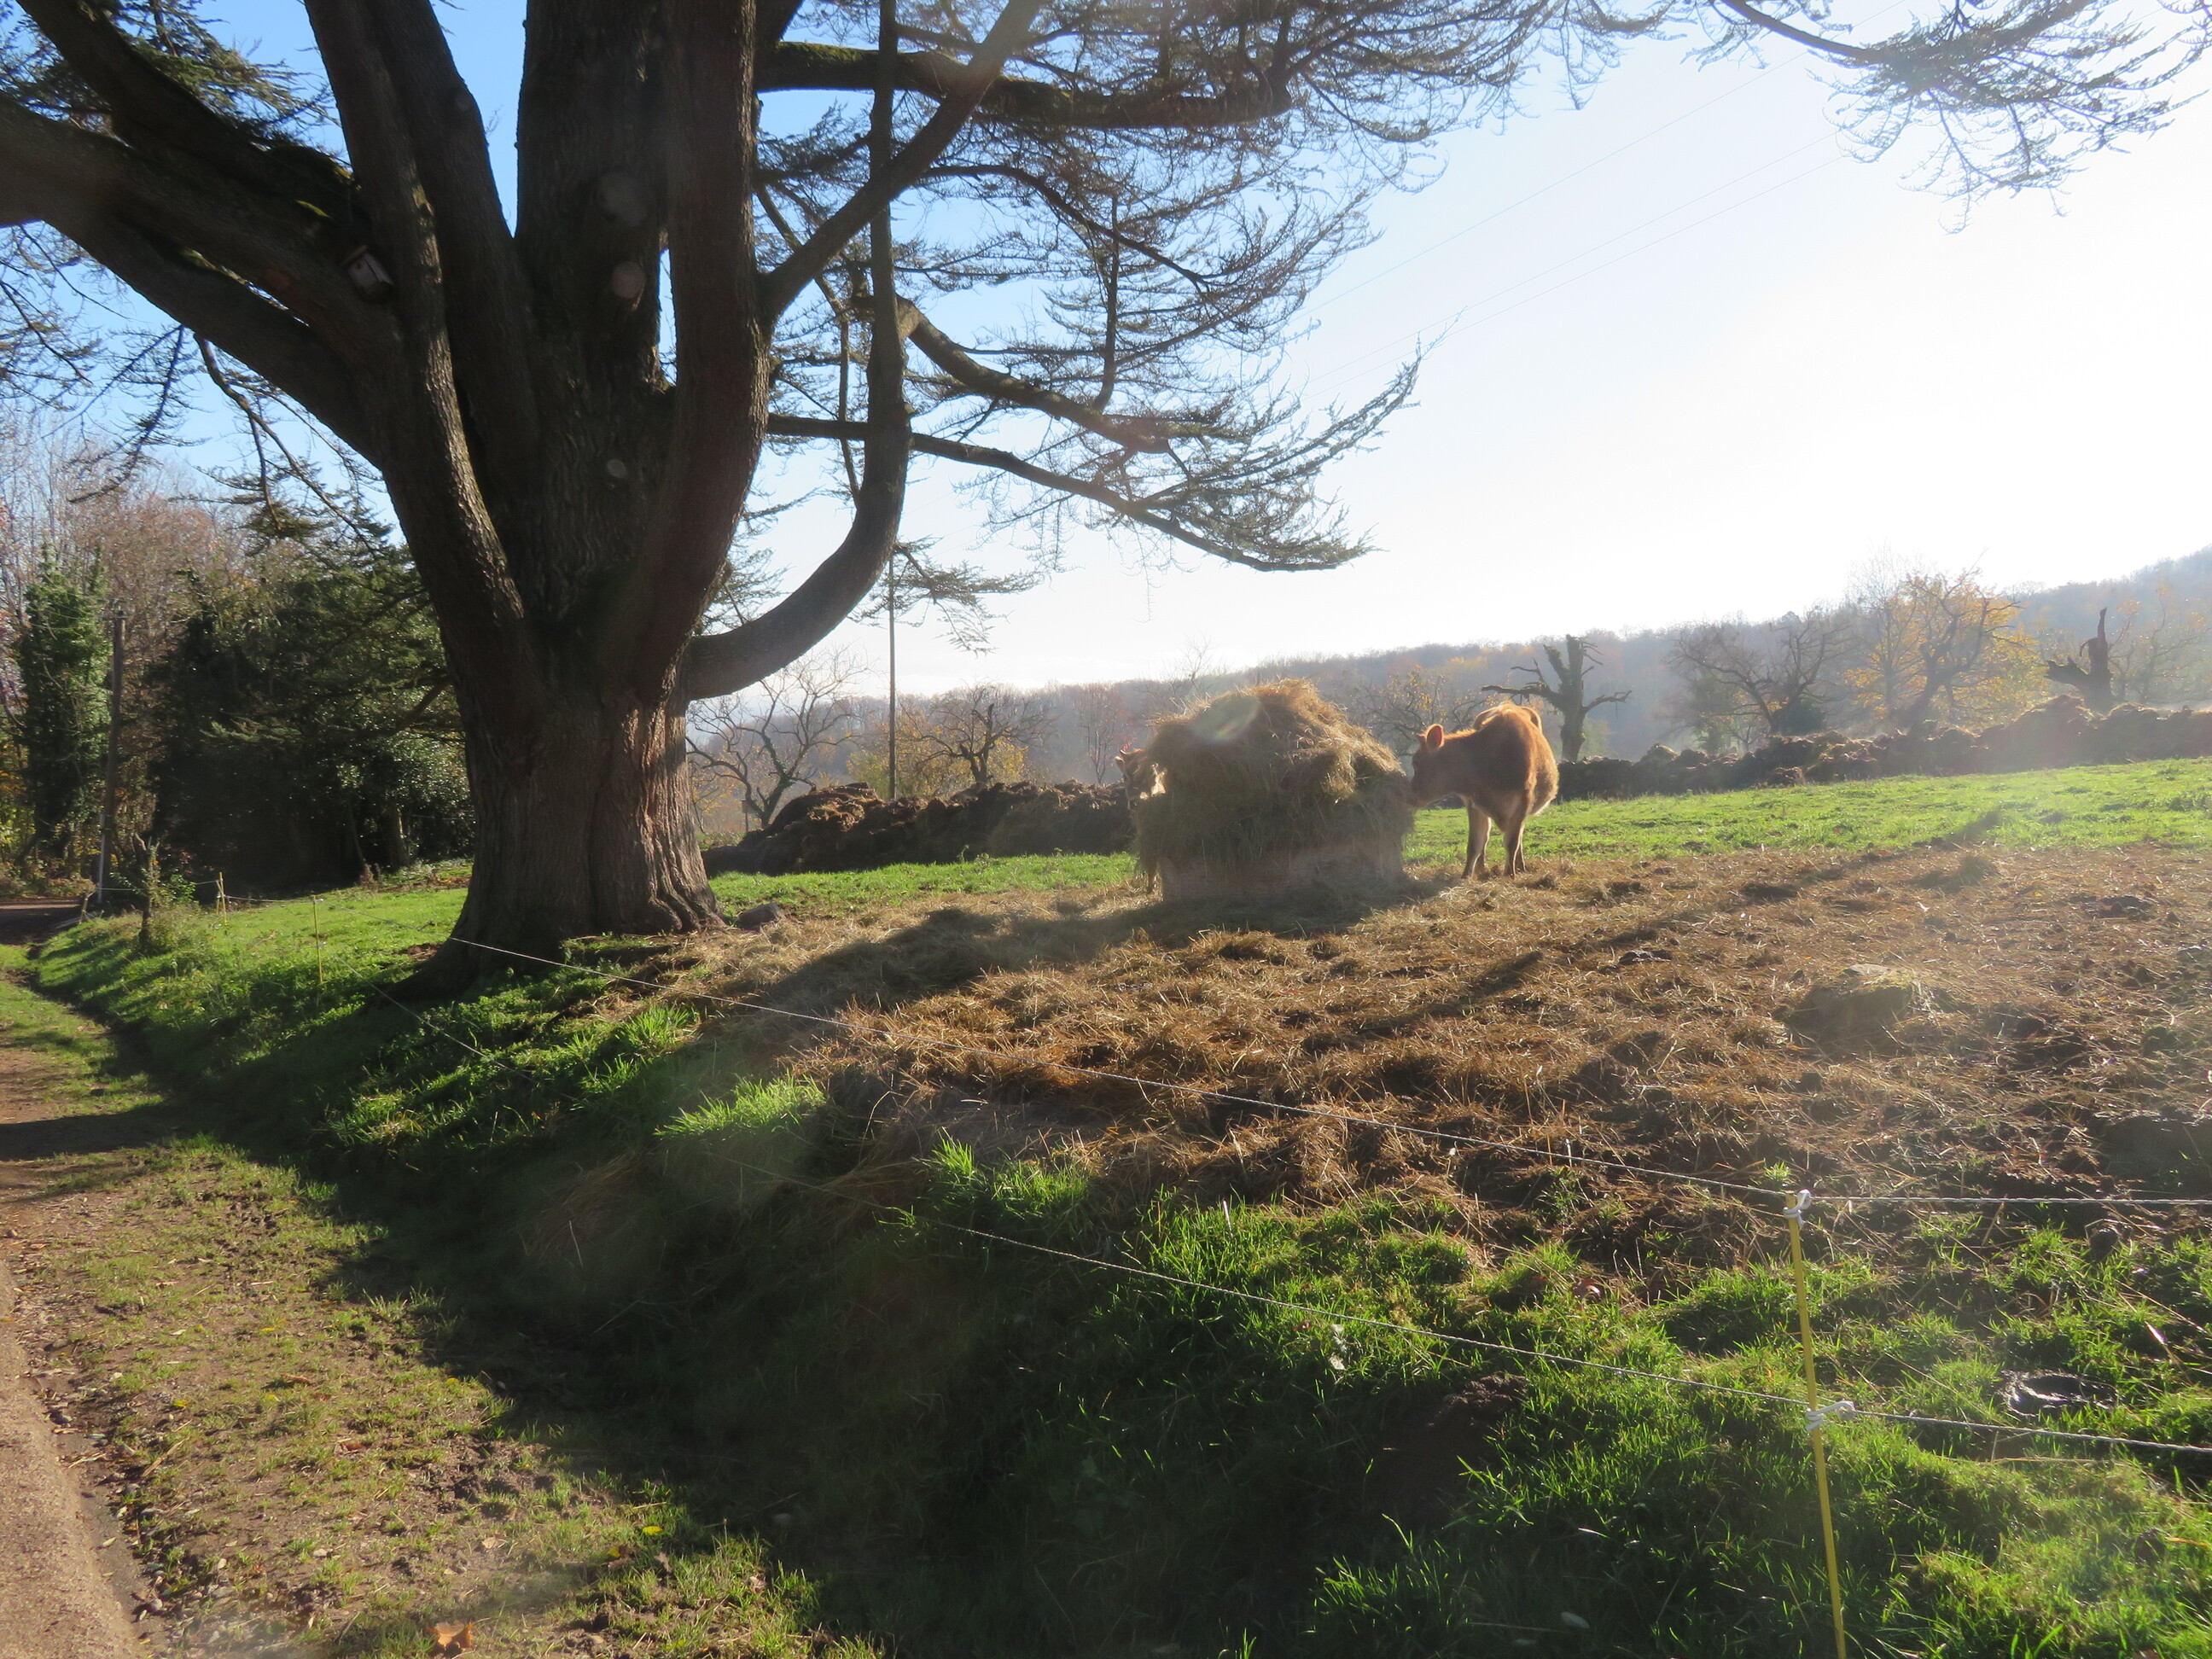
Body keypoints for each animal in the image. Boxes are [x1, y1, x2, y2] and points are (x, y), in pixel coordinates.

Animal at [1408, 705, 1559, 879]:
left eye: (1415, 762)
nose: (1409, 794)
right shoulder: (1474, 803)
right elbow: (1475, 843)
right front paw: (1466, 876)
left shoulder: (1523, 801)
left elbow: (1512, 843)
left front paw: (1510, 875)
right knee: (1486, 839)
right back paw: (1482, 869)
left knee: (1517, 838)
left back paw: (1518, 867)